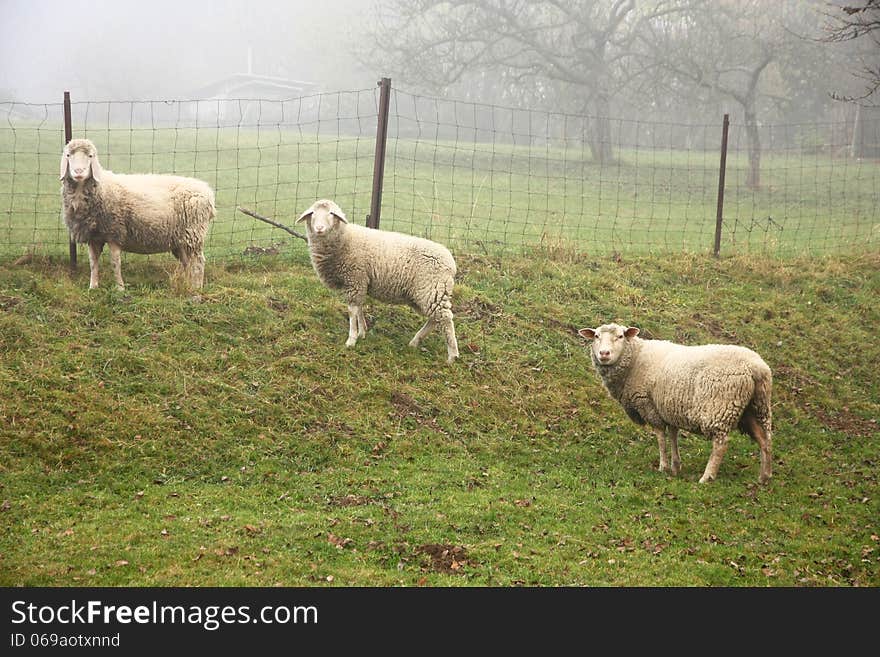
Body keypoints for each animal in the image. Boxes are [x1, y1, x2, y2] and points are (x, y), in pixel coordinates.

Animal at [60, 138, 217, 290]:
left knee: (198, 263)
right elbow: (93, 263)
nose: (78, 171)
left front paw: (120, 288)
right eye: (68, 155)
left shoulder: (115, 233)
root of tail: (208, 192)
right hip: (181, 240)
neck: (101, 188)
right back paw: (188, 285)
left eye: (90, 156)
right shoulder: (93, 236)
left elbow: (115, 263)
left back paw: (196, 289)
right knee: (187, 262)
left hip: (193, 234)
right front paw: (93, 287)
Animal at [296, 200, 460, 364]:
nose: (319, 228)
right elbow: (359, 308)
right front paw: (362, 332)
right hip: (426, 294)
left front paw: (351, 339)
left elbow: (352, 311)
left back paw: (452, 356)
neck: (343, 239)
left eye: (331, 213)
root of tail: (451, 264)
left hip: (432, 290)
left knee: (445, 319)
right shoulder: (360, 283)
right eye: (313, 213)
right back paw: (415, 342)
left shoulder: (354, 279)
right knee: (434, 319)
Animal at [580, 320, 772, 484]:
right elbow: (673, 434)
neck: (635, 359)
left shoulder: (648, 405)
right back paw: (764, 477)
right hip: (756, 407)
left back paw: (707, 477)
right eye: (596, 336)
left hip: (720, 408)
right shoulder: (668, 408)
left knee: (721, 444)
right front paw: (675, 466)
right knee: (765, 439)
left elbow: (660, 436)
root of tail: (756, 367)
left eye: (620, 336)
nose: (604, 354)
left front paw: (663, 466)